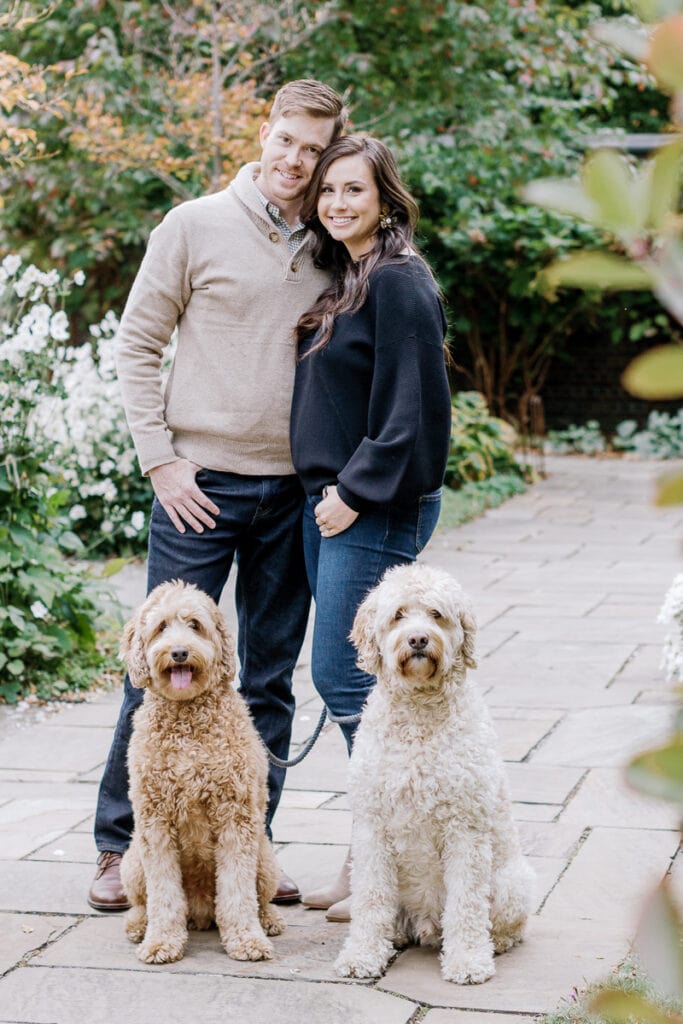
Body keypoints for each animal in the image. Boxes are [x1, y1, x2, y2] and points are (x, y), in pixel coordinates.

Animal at [335, 565, 532, 987]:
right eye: (398, 615)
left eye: (436, 614)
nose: (418, 639)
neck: (418, 715)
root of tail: (425, 924)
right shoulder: (372, 828)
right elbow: (370, 898)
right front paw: (362, 955)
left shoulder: (465, 829)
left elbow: (466, 902)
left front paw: (468, 961)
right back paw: (394, 935)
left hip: (512, 883)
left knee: (504, 921)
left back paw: (497, 942)